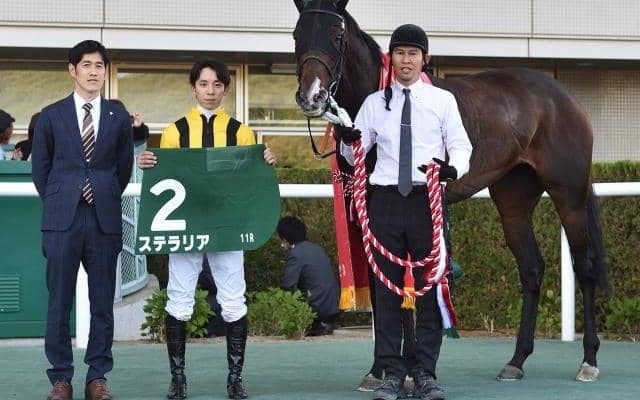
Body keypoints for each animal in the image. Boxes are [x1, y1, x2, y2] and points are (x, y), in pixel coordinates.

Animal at [292, 0, 608, 382]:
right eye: (297, 34)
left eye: (337, 36)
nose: (312, 96)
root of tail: (563, 97)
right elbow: (384, 288)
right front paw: (380, 369)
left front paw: (409, 366)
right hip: (513, 199)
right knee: (531, 269)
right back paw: (516, 360)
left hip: (568, 194)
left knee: (584, 265)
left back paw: (589, 360)